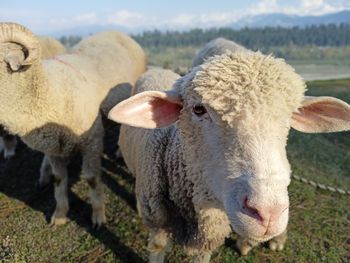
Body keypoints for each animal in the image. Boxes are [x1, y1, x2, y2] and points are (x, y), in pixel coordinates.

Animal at [0, 22, 146, 228]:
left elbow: (92, 179)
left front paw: (98, 216)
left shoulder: (92, 140)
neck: (51, 90)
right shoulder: (53, 148)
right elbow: (59, 180)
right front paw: (60, 214)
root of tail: (117, 32)